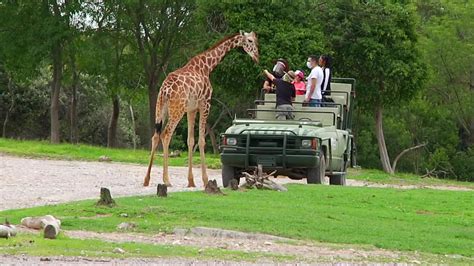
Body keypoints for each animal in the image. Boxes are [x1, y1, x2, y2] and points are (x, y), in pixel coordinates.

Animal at [143, 31, 260, 188]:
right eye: (250, 40)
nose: (257, 57)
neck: (207, 66)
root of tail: (165, 90)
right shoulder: (205, 104)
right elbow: (201, 141)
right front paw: (205, 180)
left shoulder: (191, 109)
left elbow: (190, 140)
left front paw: (191, 181)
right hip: (177, 109)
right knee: (166, 134)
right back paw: (166, 180)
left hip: (161, 108)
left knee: (155, 136)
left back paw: (146, 179)